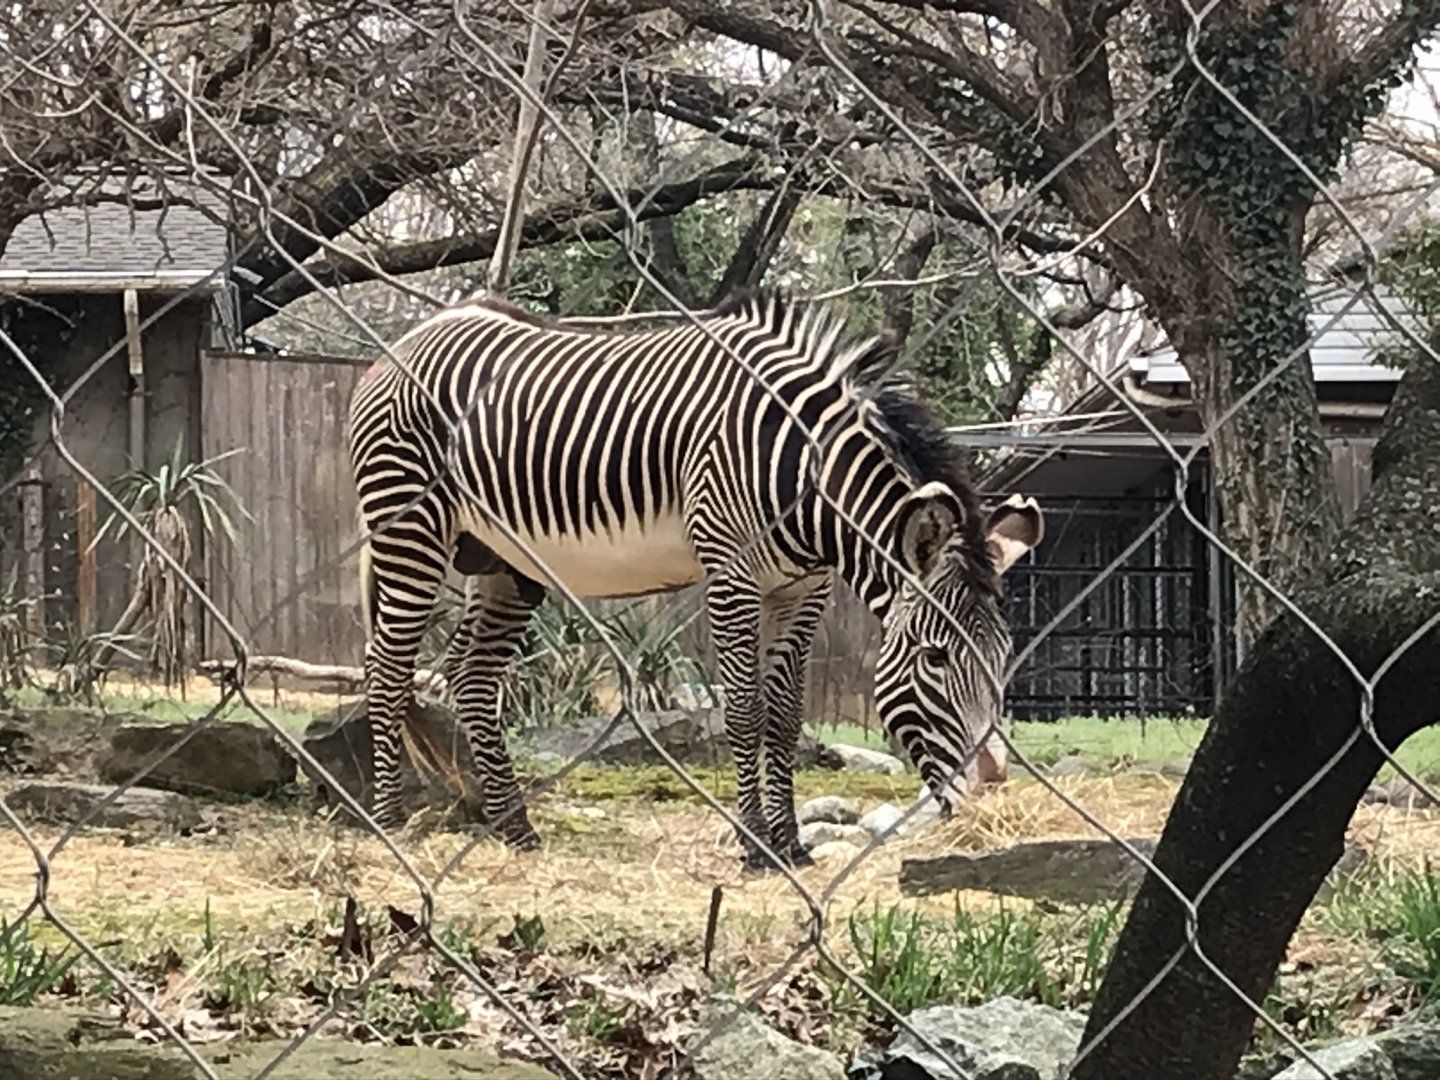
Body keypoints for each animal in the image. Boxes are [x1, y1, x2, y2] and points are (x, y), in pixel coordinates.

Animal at [348, 289, 1043, 868]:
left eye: (1003, 657)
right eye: (935, 657)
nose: (992, 790)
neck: (805, 480)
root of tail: (413, 337)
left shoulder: (804, 589)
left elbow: (785, 715)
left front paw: (792, 846)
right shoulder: (731, 573)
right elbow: (744, 710)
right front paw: (755, 845)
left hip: (504, 561)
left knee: (470, 676)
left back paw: (514, 829)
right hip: (408, 526)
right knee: (387, 668)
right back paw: (388, 821)